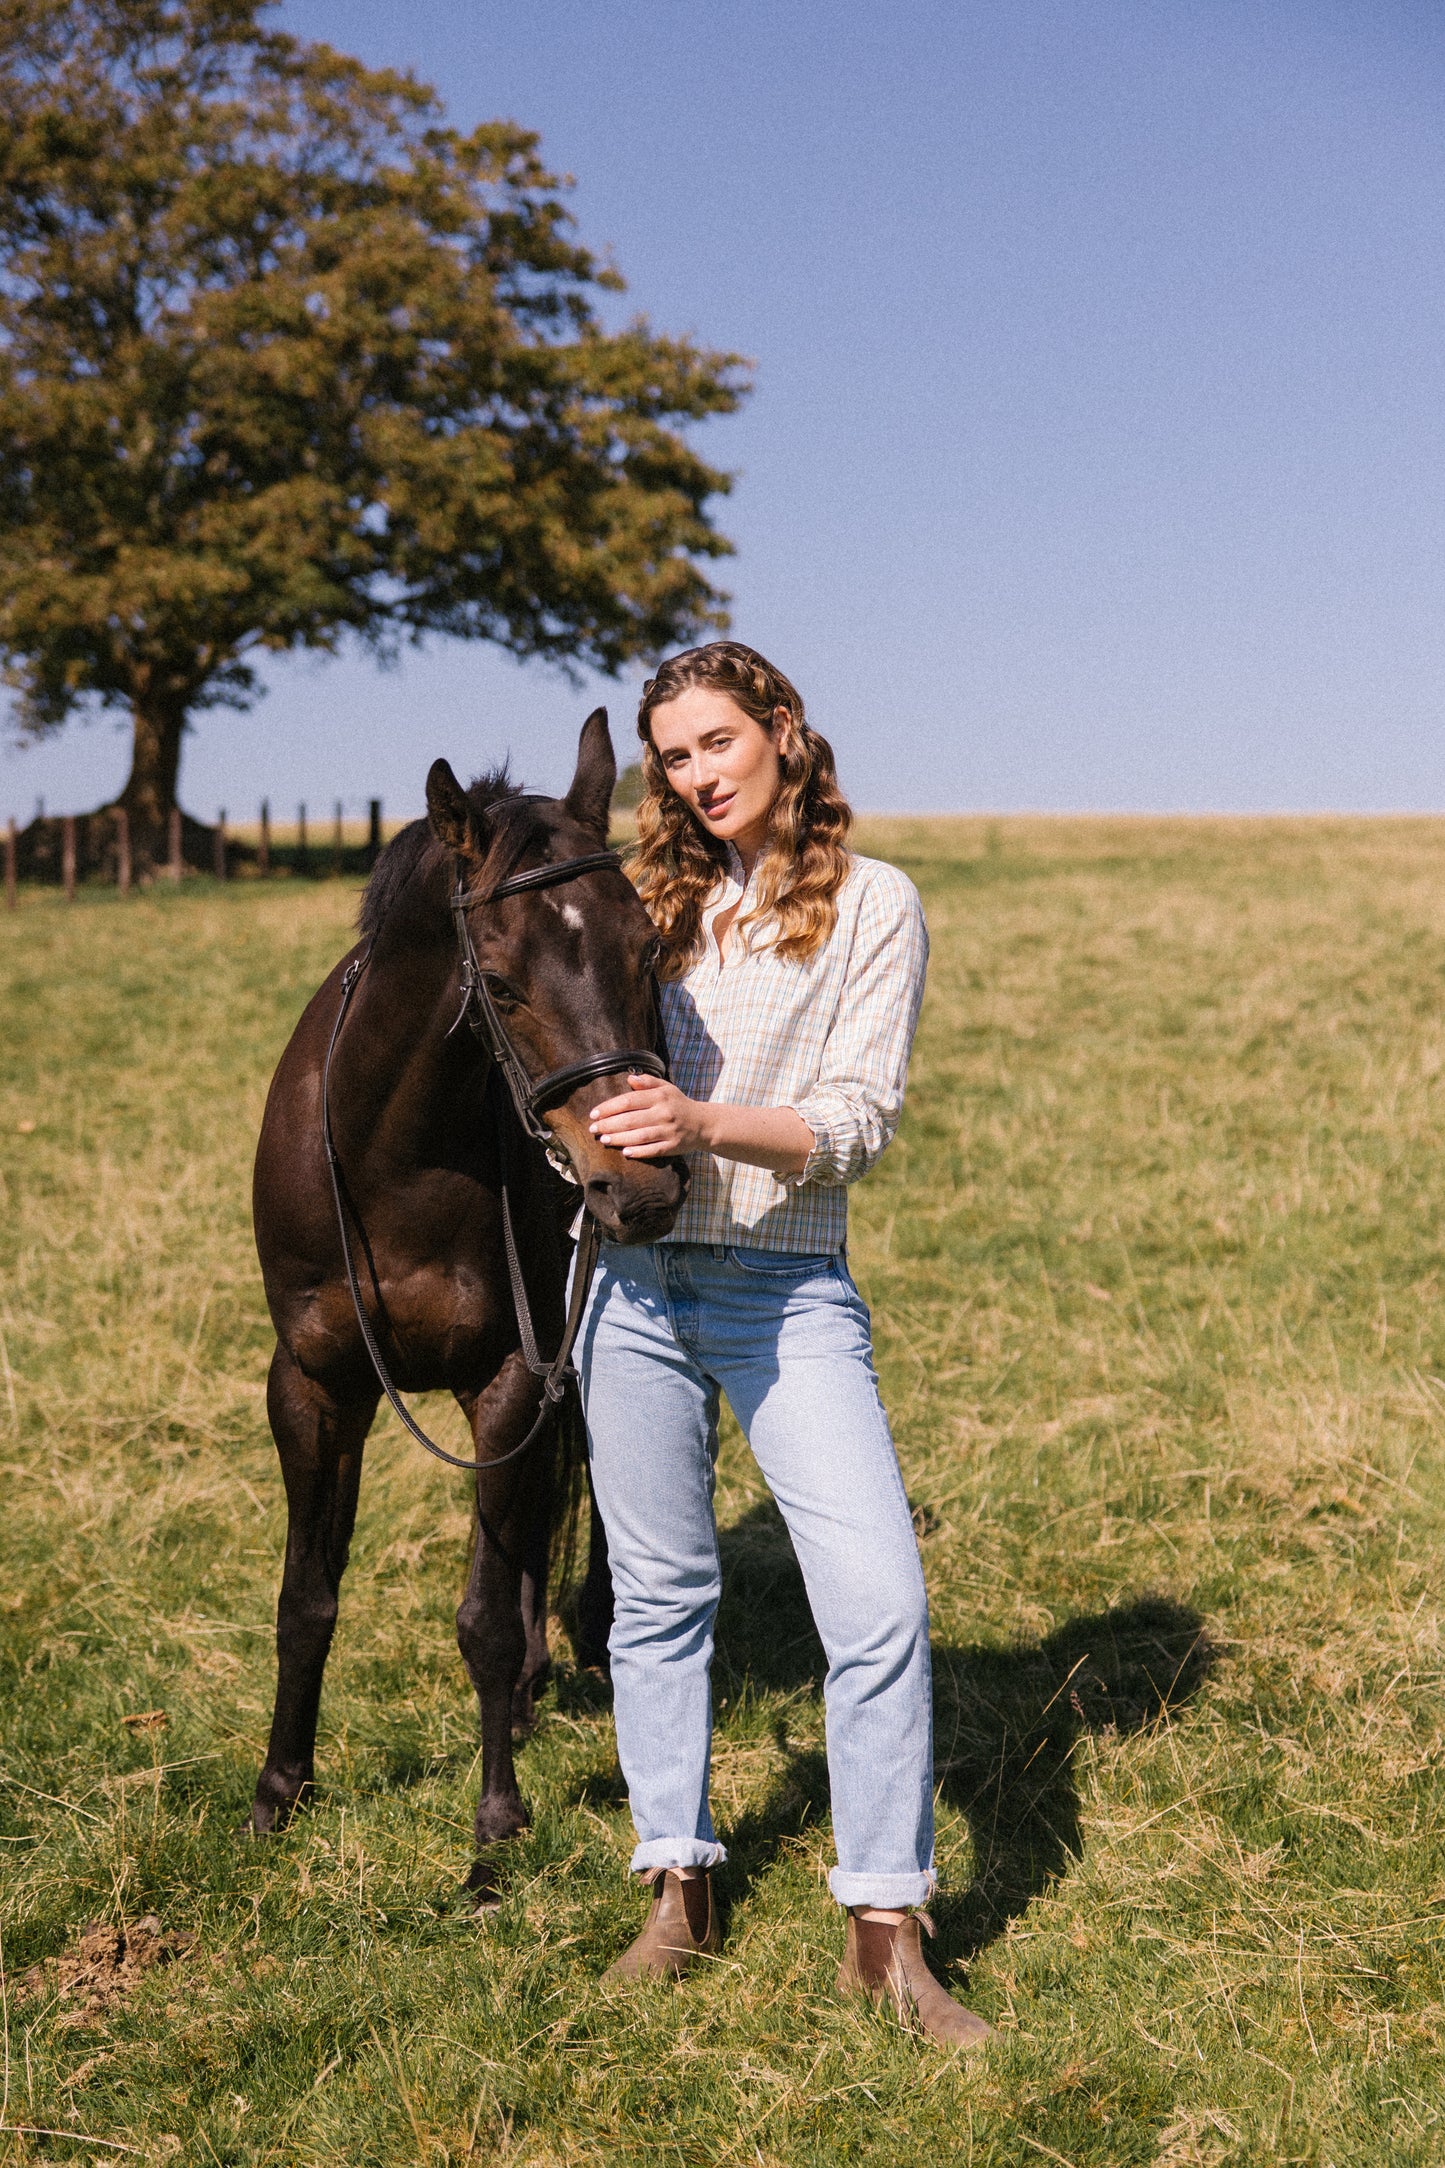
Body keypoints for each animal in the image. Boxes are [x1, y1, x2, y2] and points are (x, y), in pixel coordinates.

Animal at [249, 715, 684, 1881]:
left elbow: (484, 1612)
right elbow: (307, 1596)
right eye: (499, 977)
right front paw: (278, 1790)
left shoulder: (505, 1378)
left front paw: (494, 1822)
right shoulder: (312, 1385)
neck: (392, 1158)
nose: (637, 1186)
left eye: (649, 950)